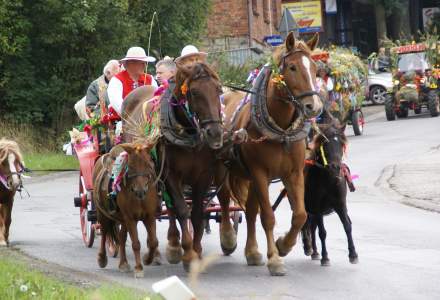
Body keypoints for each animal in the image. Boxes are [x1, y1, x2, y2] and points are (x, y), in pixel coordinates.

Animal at [93, 142, 160, 278]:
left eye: (149, 163)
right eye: (131, 166)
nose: (140, 191)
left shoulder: (149, 216)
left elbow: (153, 242)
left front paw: (148, 259)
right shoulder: (130, 218)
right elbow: (136, 244)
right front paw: (139, 268)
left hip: (123, 219)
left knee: (121, 237)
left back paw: (123, 263)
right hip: (103, 214)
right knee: (104, 233)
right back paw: (102, 258)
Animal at [217, 32, 324, 274]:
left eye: (315, 67)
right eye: (292, 67)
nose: (314, 106)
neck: (281, 131)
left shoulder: (293, 173)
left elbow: (300, 215)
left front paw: (283, 245)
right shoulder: (259, 173)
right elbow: (267, 216)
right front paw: (275, 260)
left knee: (249, 211)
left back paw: (252, 252)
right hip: (226, 170)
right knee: (225, 200)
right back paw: (228, 238)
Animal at [300, 116, 360, 266]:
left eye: (341, 144)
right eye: (325, 144)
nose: (335, 167)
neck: (329, 180)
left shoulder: (340, 204)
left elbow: (347, 226)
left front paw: (353, 254)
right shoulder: (317, 208)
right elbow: (322, 232)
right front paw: (325, 257)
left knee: (312, 227)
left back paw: (315, 252)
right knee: (306, 225)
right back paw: (309, 248)